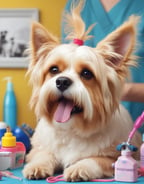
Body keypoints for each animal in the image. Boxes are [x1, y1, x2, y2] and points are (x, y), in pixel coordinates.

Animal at [23, 0, 141, 181]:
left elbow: (94, 159)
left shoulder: (113, 158)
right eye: (54, 69)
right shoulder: (39, 148)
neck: (72, 130)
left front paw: (79, 167)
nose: (62, 81)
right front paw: (37, 166)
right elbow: (43, 154)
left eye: (86, 73)